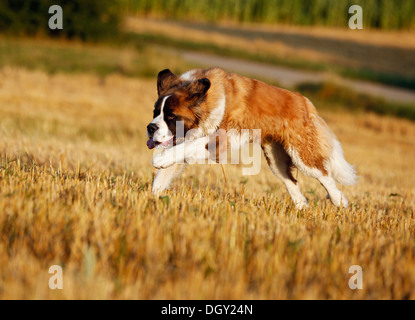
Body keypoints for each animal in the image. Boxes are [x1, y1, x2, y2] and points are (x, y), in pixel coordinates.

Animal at [147, 67, 358, 209]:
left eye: (171, 117)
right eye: (155, 112)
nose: (150, 128)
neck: (205, 102)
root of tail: (304, 100)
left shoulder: (219, 139)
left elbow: (185, 148)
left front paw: (160, 160)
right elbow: (164, 174)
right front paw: (153, 198)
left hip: (301, 154)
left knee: (323, 174)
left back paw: (339, 200)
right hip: (275, 159)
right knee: (291, 180)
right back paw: (302, 208)